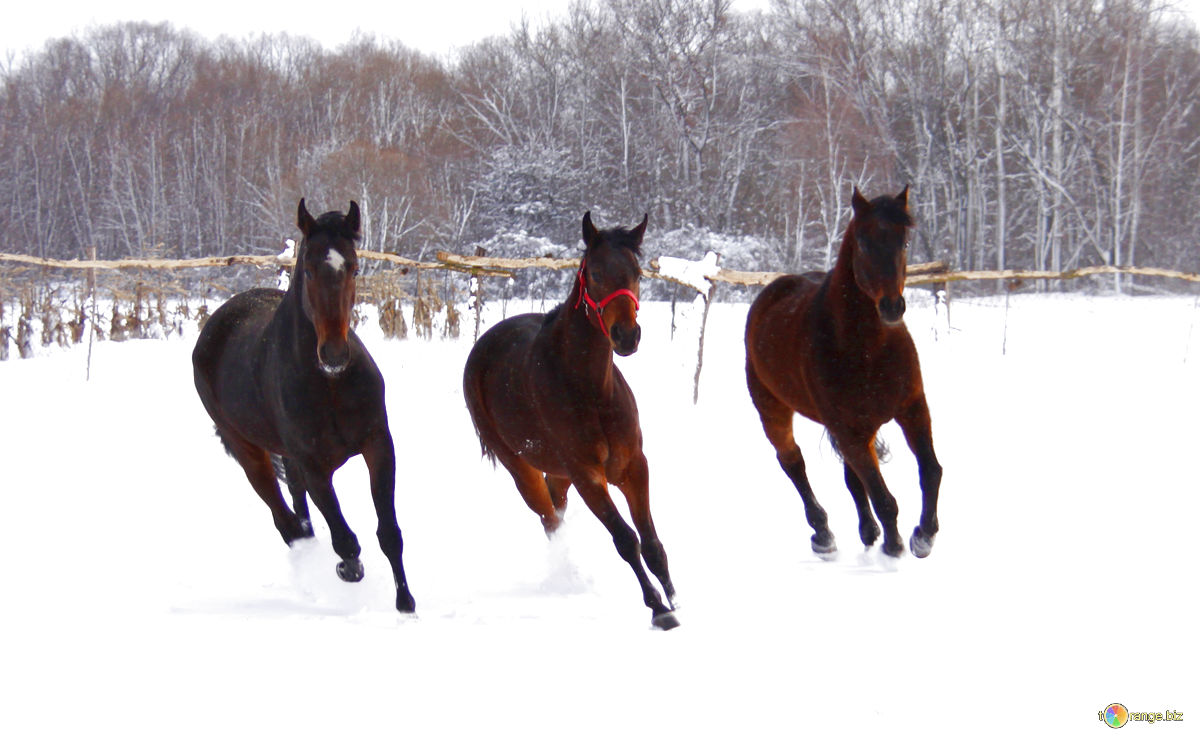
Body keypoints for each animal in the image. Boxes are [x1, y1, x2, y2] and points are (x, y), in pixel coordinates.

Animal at [187, 200, 412, 612]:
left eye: (354, 267)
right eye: (308, 268)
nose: (334, 355)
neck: (331, 386)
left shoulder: (378, 445)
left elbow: (389, 533)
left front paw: (406, 603)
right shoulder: (314, 466)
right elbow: (345, 541)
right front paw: (346, 570)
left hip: (288, 460)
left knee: (298, 515)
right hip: (249, 453)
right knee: (287, 524)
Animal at [463, 211, 681, 633]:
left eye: (636, 273)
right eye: (595, 273)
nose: (627, 336)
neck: (591, 390)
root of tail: (483, 346)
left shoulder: (633, 466)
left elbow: (651, 542)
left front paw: (675, 597)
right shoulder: (587, 475)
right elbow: (626, 540)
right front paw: (658, 608)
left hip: (558, 472)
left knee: (556, 508)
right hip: (522, 468)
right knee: (549, 519)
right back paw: (567, 577)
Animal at [744, 187, 940, 564]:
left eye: (904, 241)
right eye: (863, 242)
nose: (892, 307)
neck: (868, 348)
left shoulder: (912, 409)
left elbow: (930, 471)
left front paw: (923, 536)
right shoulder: (848, 430)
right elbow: (883, 497)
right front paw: (894, 547)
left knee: (852, 477)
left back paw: (868, 531)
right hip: (773, 410)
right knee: (793, 463)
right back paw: (823, 534)